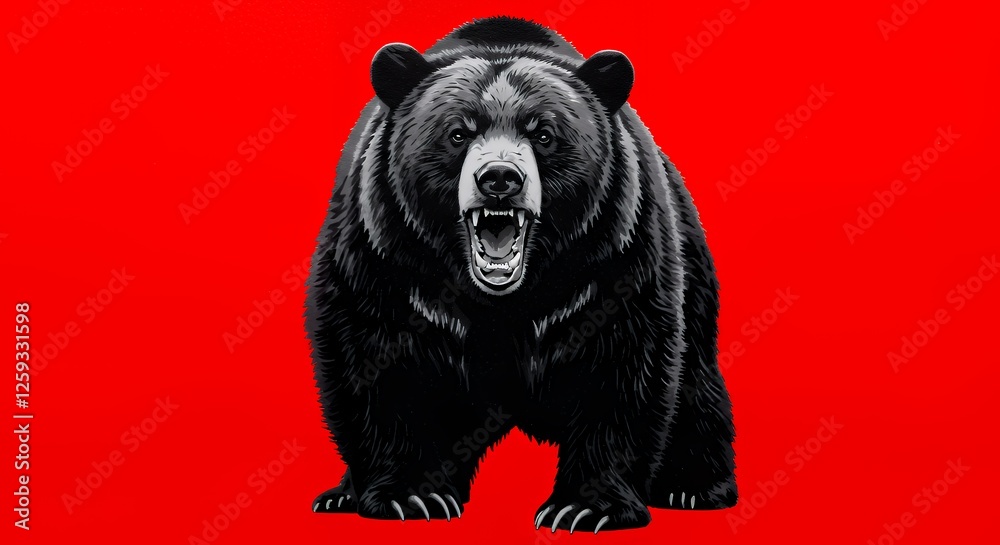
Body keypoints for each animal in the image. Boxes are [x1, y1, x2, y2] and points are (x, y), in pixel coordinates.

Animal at [306, 16, 736, 533]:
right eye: (458, 133)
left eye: (544, 134)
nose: (499, 178)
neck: (502, 298)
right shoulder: (385, 257)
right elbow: (376, 361)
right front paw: (411, 497)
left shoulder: (615, 255)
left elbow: (624, 365)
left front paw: (586, 507)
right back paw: (339, 495)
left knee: (696, 380)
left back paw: (693, 487)